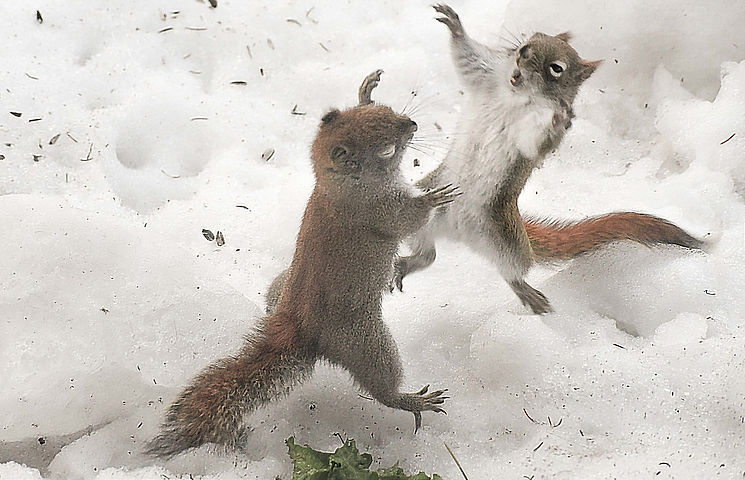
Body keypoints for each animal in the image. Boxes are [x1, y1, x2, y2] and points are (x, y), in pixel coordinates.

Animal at [146, 71, 460, 459]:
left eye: (384, 112)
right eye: (386, 149)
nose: (412, 125)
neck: (333, 184)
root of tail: (299, 327)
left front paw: (365, 90)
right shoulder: (375, 209)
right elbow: (407, 219)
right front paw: (434, 197)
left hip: (281, 285)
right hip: (365, 341)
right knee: (381, 386)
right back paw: (411, 401)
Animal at [391, 4, 703, 314]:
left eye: (556, 68)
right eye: (534, 37)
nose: (523, 52)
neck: (518, 95)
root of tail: (457, 232)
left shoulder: (529, 134)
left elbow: (535, 141)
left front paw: (558, 121)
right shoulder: (488, 77)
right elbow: (467, 60)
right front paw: (455, 26)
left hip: (506, 242)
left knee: (510, 271)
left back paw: (528, 293)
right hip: (426, 207)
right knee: (428, 254)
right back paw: (407, 263)